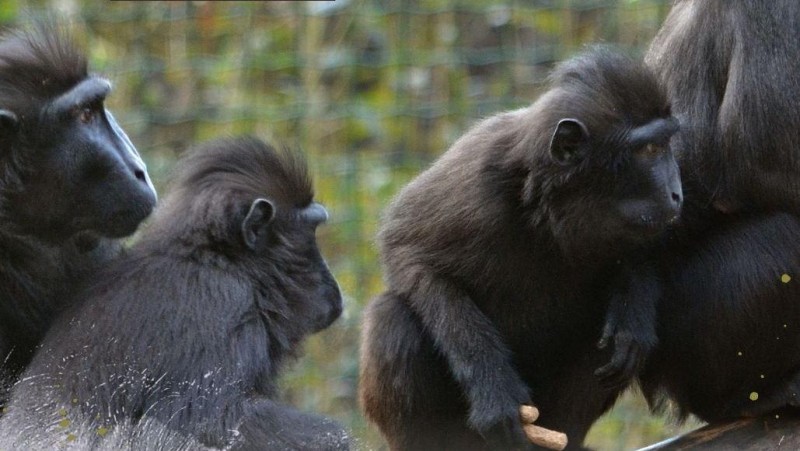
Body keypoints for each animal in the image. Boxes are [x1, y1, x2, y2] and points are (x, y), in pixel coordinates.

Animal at [360, 47, 680, 450]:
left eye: (666, 145)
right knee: (393, 317)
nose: (677, 192)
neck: (550, 207)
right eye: (650, 149)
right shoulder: (479, 177)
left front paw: (632, 311)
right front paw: (495, 393)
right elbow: (407, 249)